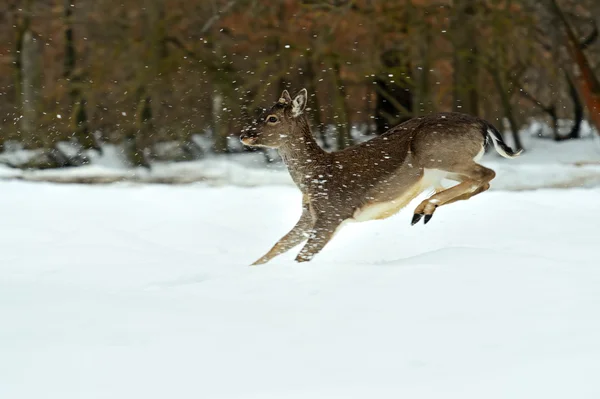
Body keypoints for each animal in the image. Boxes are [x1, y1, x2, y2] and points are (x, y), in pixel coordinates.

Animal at [239, 89, 520, 268]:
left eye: (272, 118)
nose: (244, 135)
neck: (313, 177)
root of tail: (483, 124)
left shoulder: (332, 212)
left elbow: (302, 256)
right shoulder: (311, 213)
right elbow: (279, 244)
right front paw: (249, 268)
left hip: (439, 155)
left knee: (487, 174)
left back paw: (423, 208)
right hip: (443, 166)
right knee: (482, 182)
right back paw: (423, 210)